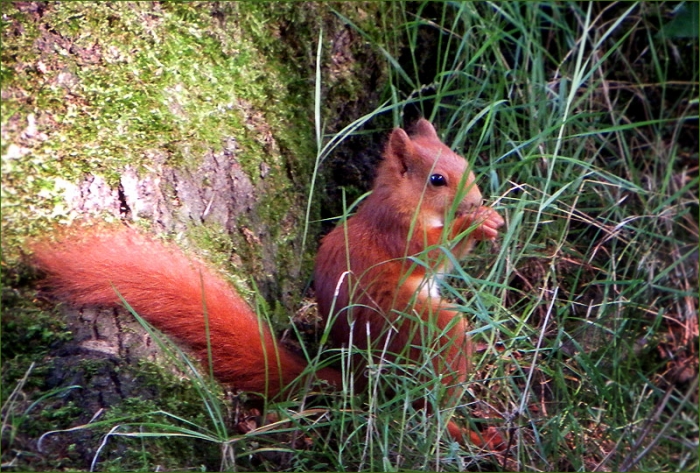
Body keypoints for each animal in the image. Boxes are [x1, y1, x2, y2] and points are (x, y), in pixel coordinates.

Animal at [30, 119, 505, 449]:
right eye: (437, 179)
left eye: (466, 165)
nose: (478, 200)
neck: (402, 201)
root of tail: (358, 379)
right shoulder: (397, 233)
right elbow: (433, 252)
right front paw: (475, 224)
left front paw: (492, 218)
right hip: (429, 332)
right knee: (429, 404)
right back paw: (465, 433)